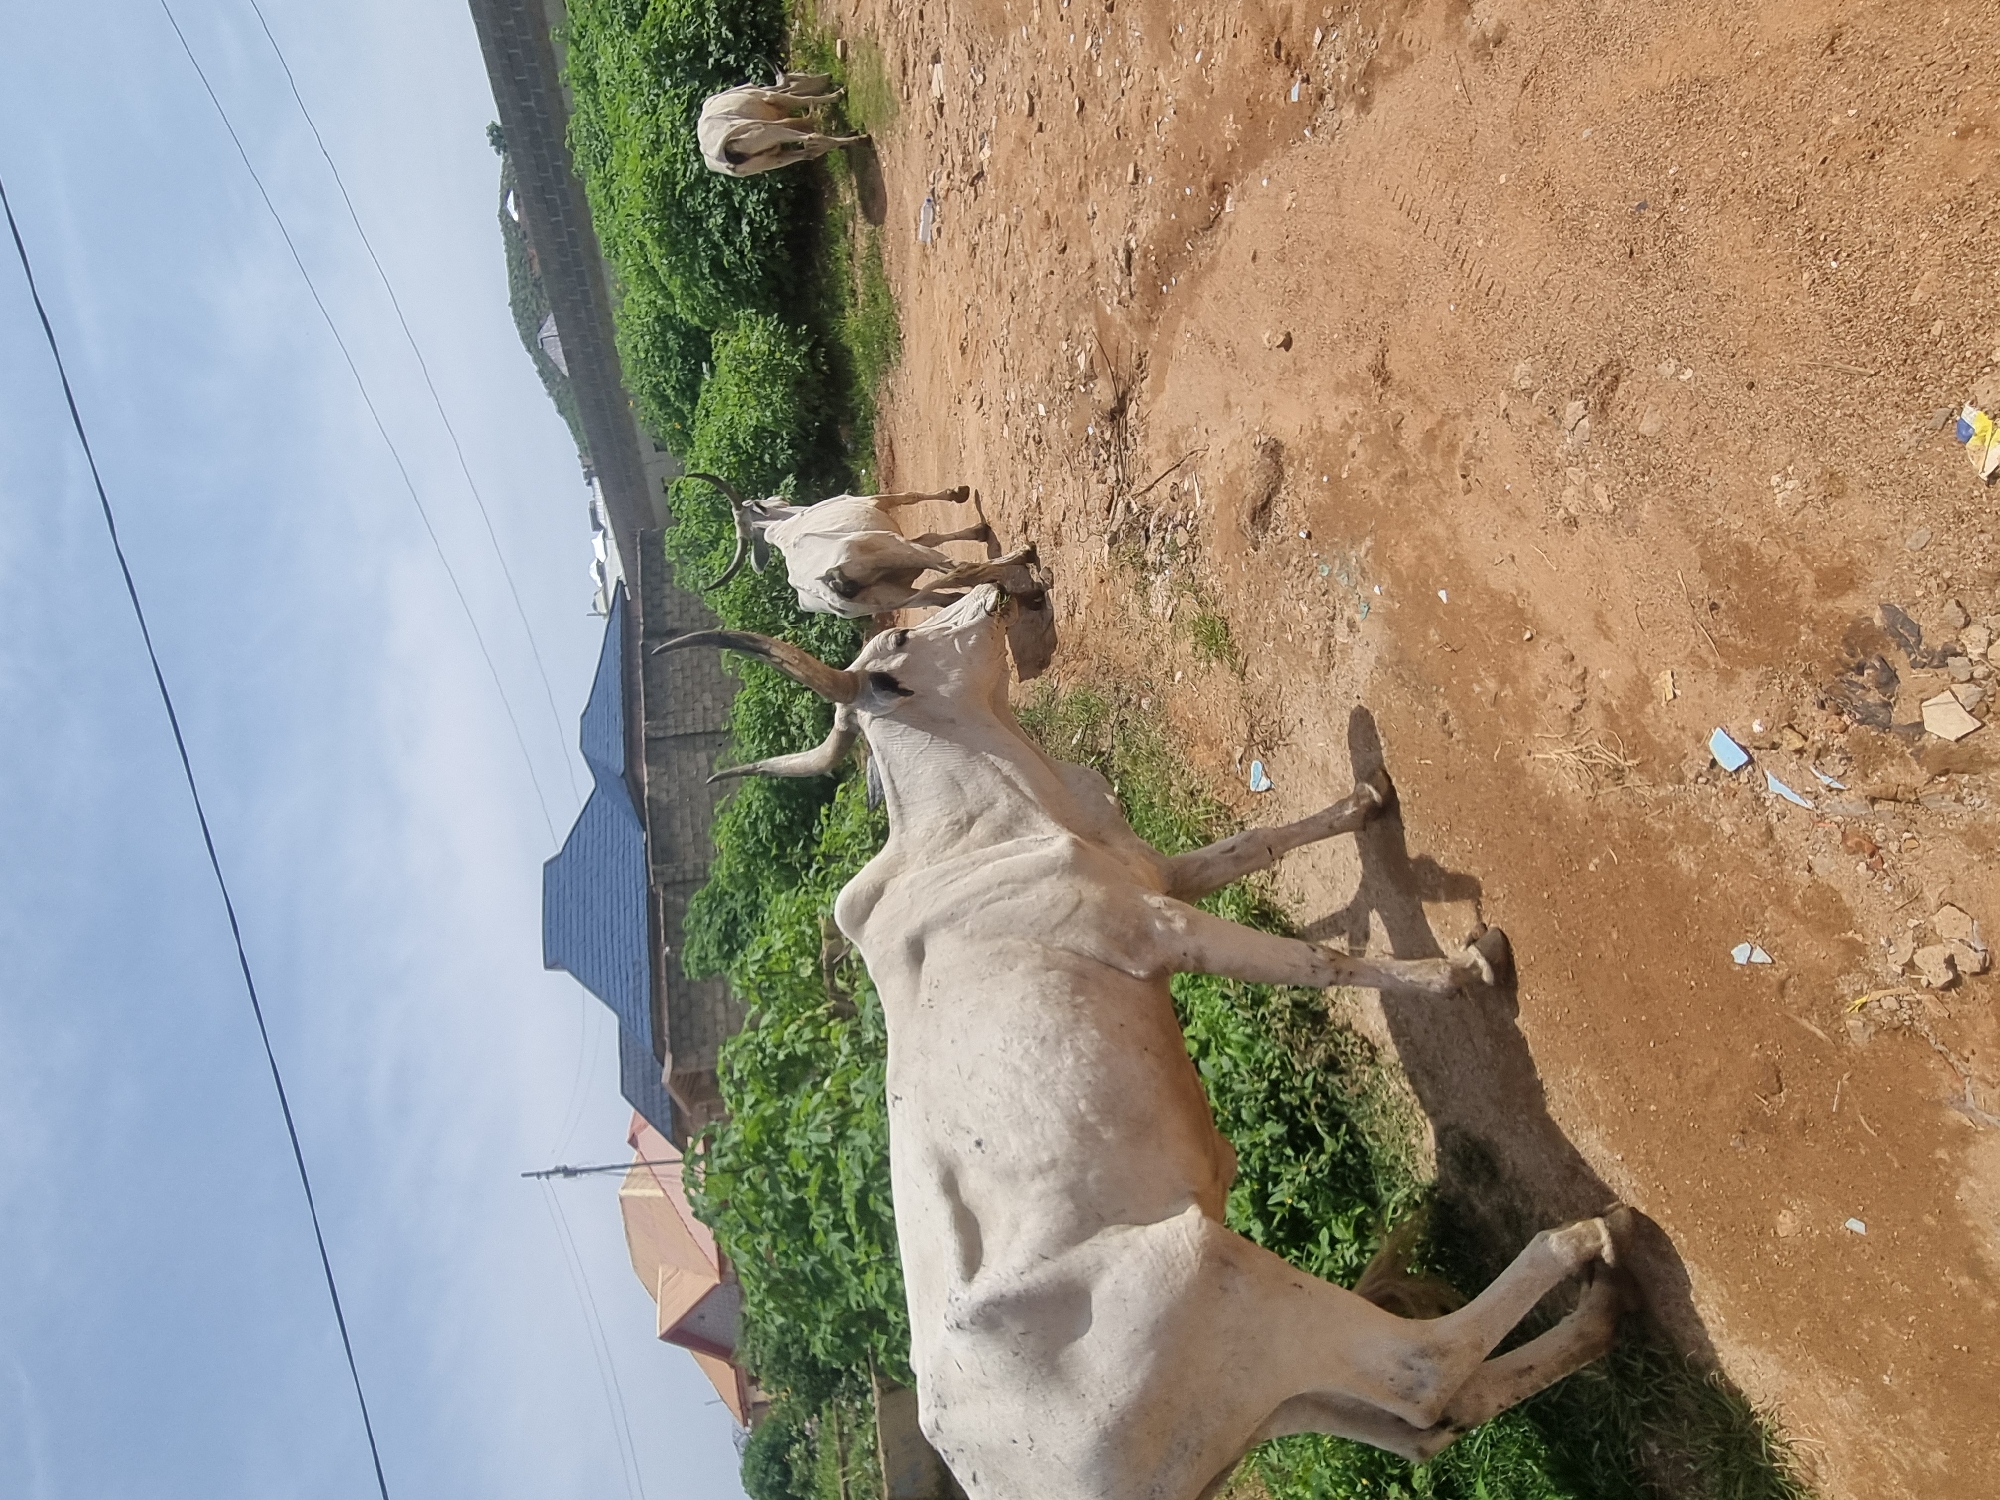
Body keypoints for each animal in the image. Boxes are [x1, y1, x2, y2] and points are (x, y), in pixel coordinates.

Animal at [659, 584, 1639, 1499]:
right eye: (897, 638)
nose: (987, 589)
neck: (977, 830)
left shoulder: (1159, 875)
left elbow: (1257, 840)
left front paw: (1367, 799)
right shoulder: (1156, 927)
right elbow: (1317, 962)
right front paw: (1460, 970)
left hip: (1266, 1400)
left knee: (1428, 1420)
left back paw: (1596, 1316)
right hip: (1218, 1278)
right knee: (1425, 1370)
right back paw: (1589, 1240)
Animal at [697, 71, 867, 177]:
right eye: (802, 75)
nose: (829, 76)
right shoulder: (772, 97)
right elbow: (805, 99)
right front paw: (838, 94)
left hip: (770, 160)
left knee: (809, 152)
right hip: (768, 131)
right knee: (812, 138)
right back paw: (859, 138)